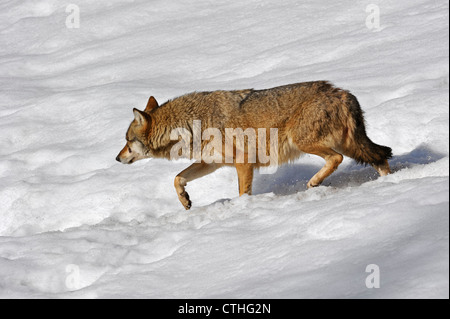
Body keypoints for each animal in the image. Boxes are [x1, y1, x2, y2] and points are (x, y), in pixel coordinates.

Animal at [116, 81, 390, 210]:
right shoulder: (210, 163)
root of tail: (342, 93)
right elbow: (177, 178)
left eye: (128, 141)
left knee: (337, 159)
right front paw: (185, 201)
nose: (117, 159)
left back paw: (314, 182)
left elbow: (242, 193)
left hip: (308, 143)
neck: (191, 124)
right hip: (351, 145)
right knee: (381, 157)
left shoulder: (244, 162)